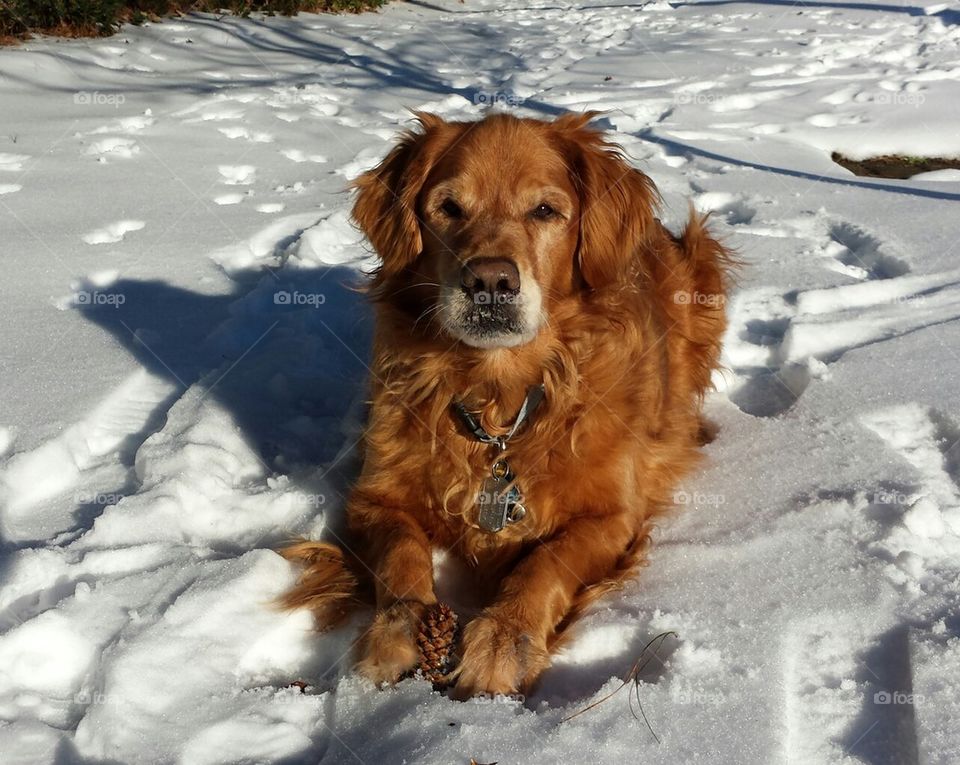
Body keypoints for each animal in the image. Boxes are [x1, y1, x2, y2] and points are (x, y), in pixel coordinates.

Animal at [282, 109, 732, 700]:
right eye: (449, 207)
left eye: (544, 211)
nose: (490, 282)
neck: (501, 400)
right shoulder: (374, 496)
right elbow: (402, 554)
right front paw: (399, 632)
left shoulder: (611, 516)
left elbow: (545, 562)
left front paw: (502, 639)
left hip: (704, 272)